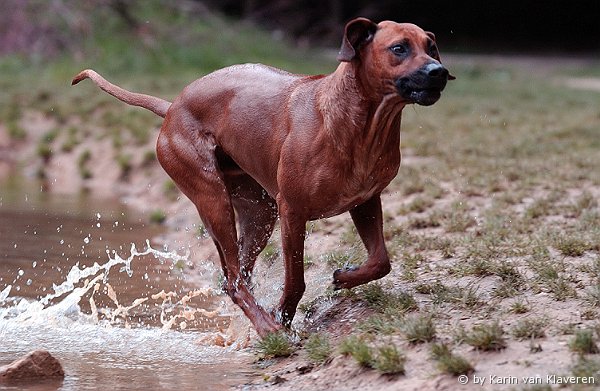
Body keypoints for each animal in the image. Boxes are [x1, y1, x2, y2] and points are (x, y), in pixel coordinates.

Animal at [72, 17, 452, 336]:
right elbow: (295, 280)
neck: (357, 125)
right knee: (234, 282)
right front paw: (283, 318)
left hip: (258, 213)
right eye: (399, 48)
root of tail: (172, 107)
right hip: (214, 200)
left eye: (431, 46)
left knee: (235, 275)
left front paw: (345, 278)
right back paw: (267, 327)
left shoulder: (365, 201)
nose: (439, 71)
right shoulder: (293, 212)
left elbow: (381, 261)